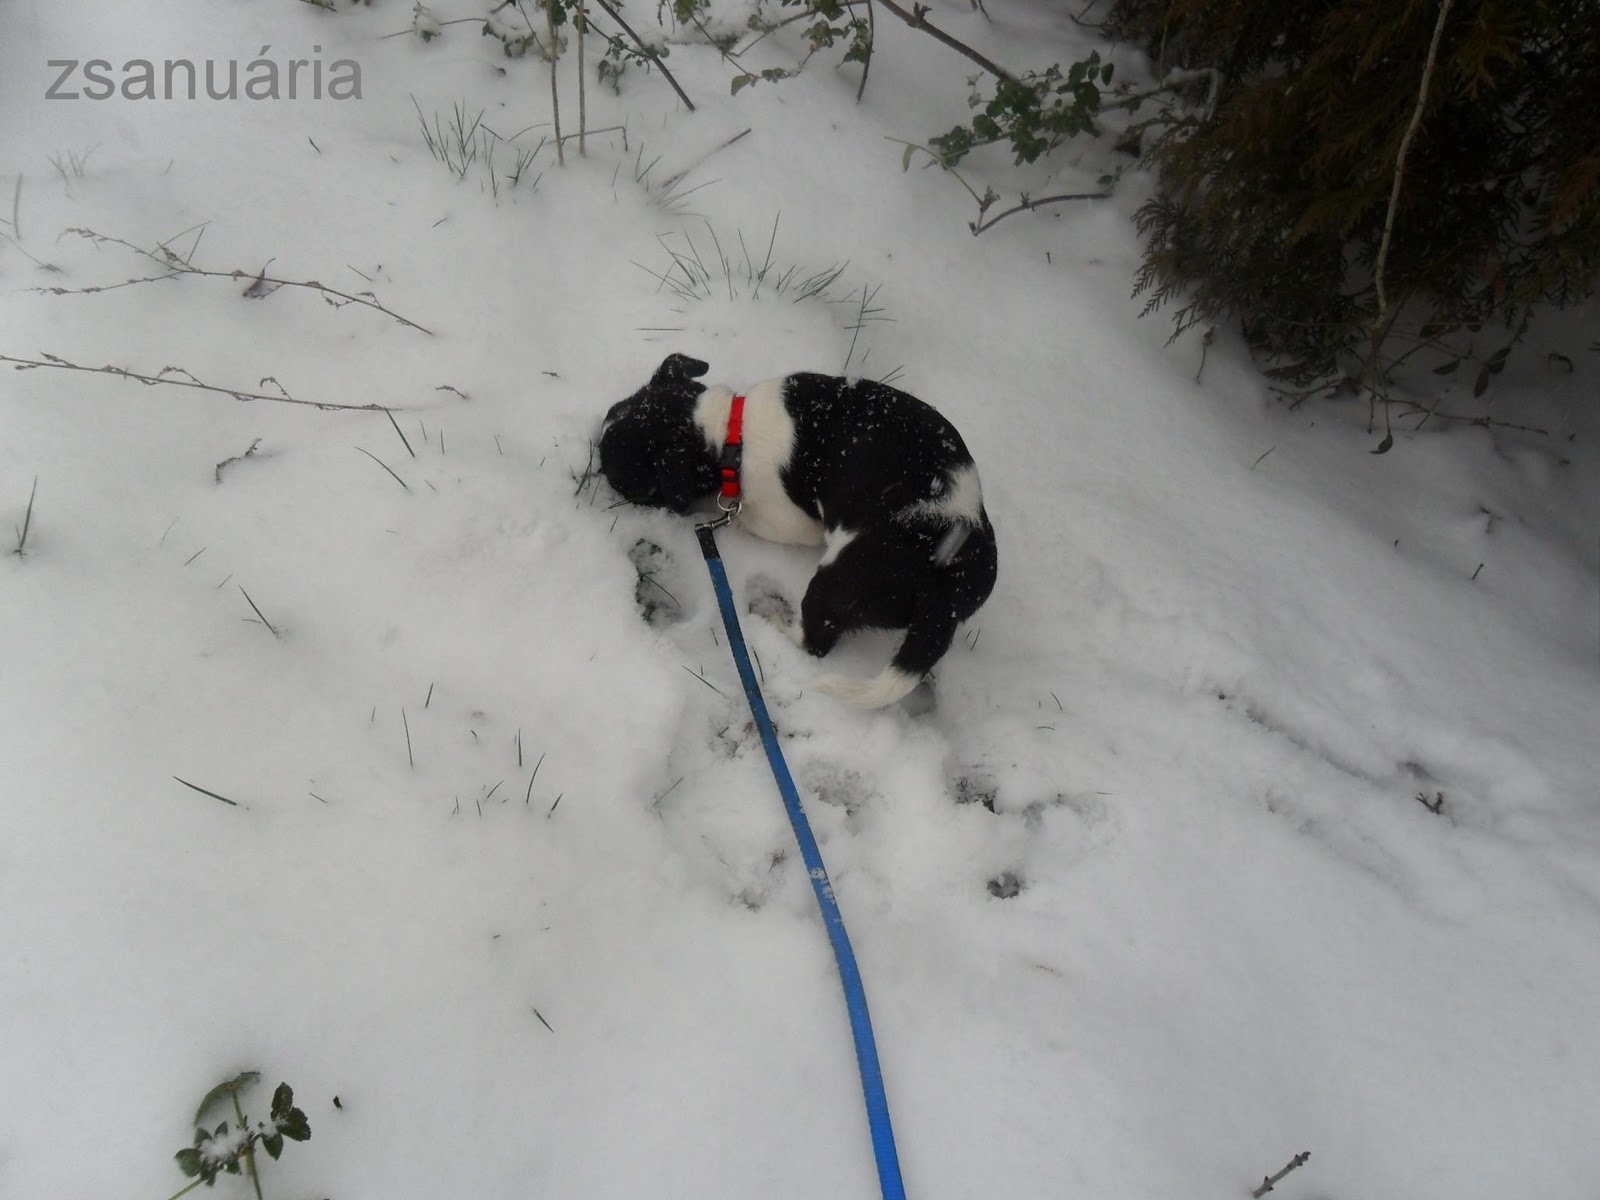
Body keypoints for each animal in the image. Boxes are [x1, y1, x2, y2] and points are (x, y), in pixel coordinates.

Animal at [599, 353, 997, 707]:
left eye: (619, 473)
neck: (727, 431)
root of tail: (948, 585)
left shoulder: (782, 518)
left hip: (838, 581)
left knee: (814, 639)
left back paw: (773, 620)